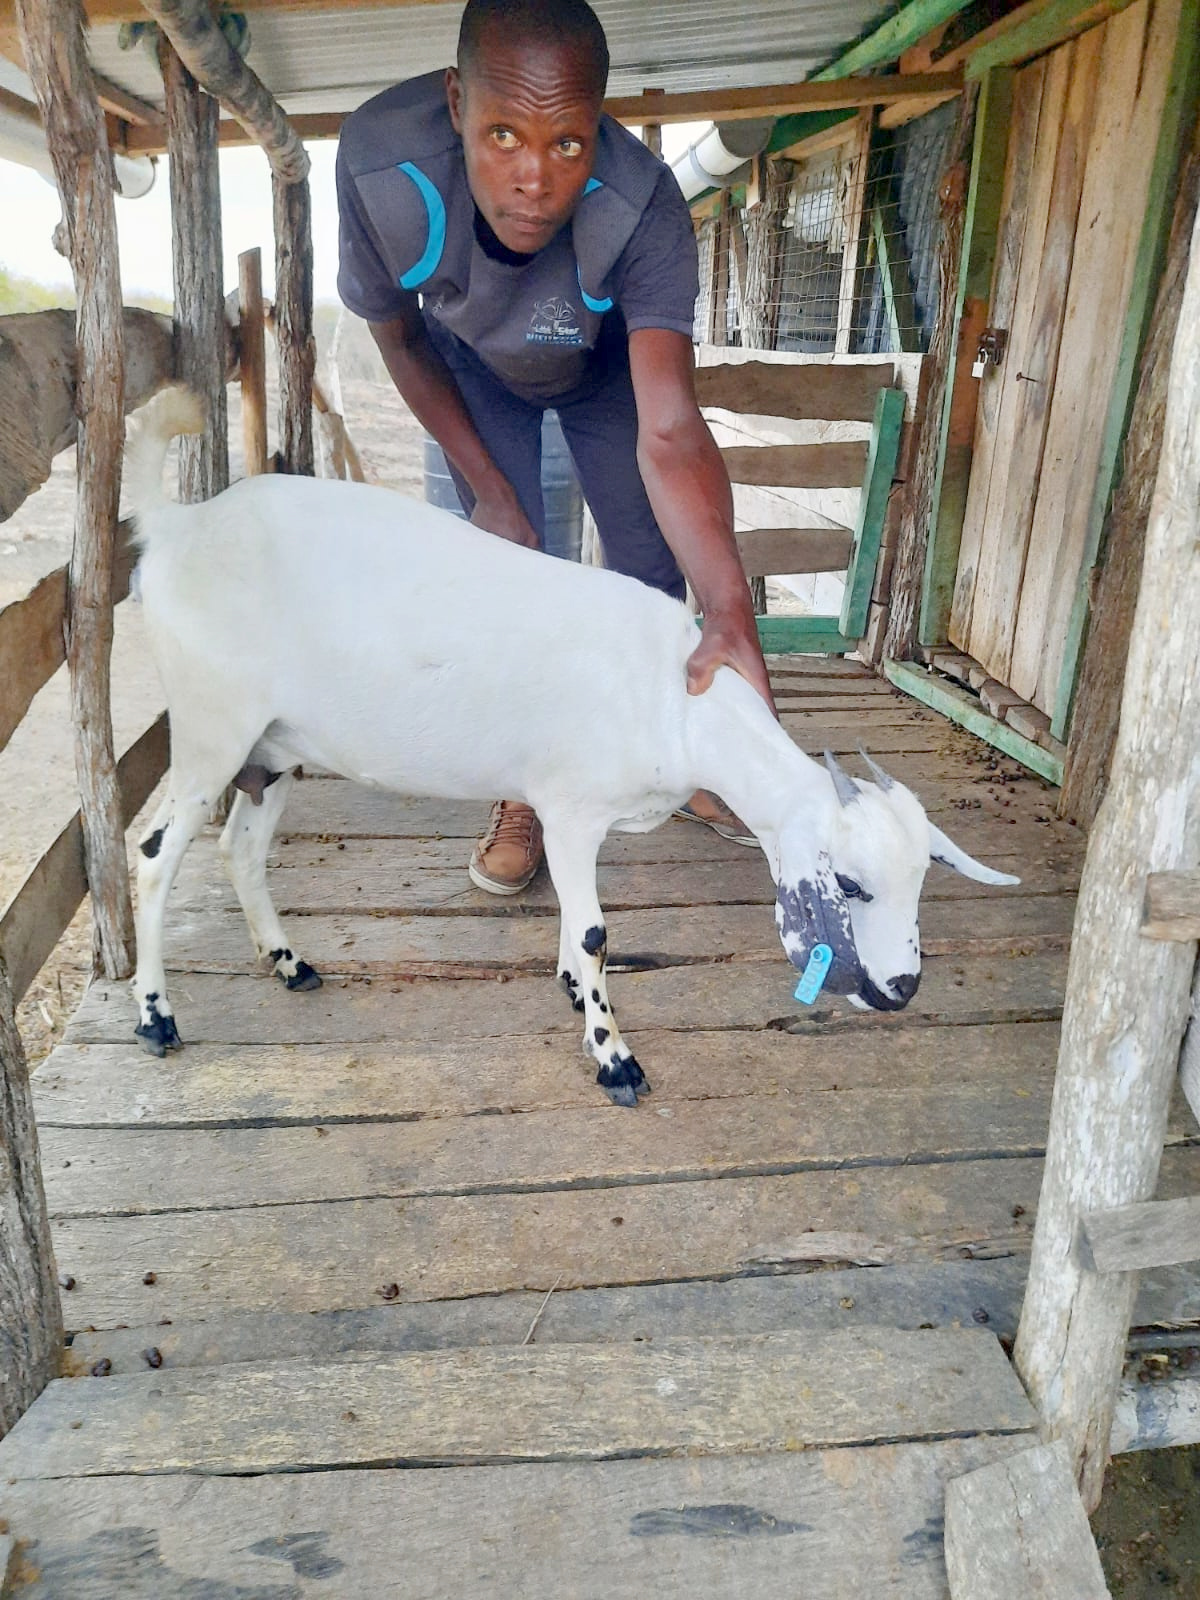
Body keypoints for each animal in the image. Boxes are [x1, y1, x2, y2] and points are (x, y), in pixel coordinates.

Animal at [125, 386, 1017, 1105]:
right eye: (852, 885)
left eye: (923, 879)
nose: (902, 989)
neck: (672, 700)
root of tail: (180, 525)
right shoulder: (573, 808)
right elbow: (594, 934)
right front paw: (613, 1057)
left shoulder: (571, 815)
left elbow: (574, 921)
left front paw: (572, 991)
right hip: (208, 725)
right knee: (154, 856)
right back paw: (157, 1017)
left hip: (270, 745)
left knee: (239, 849)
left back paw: (288, 962)